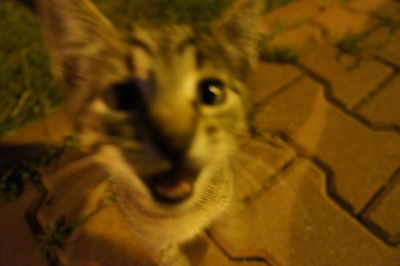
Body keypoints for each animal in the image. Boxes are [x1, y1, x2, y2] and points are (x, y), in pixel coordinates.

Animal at [34, 0, 264, 262]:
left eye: (212, 92)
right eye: (121, 97)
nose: (175, 142)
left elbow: (230, 219)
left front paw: (237, 232)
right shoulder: (155, 244)